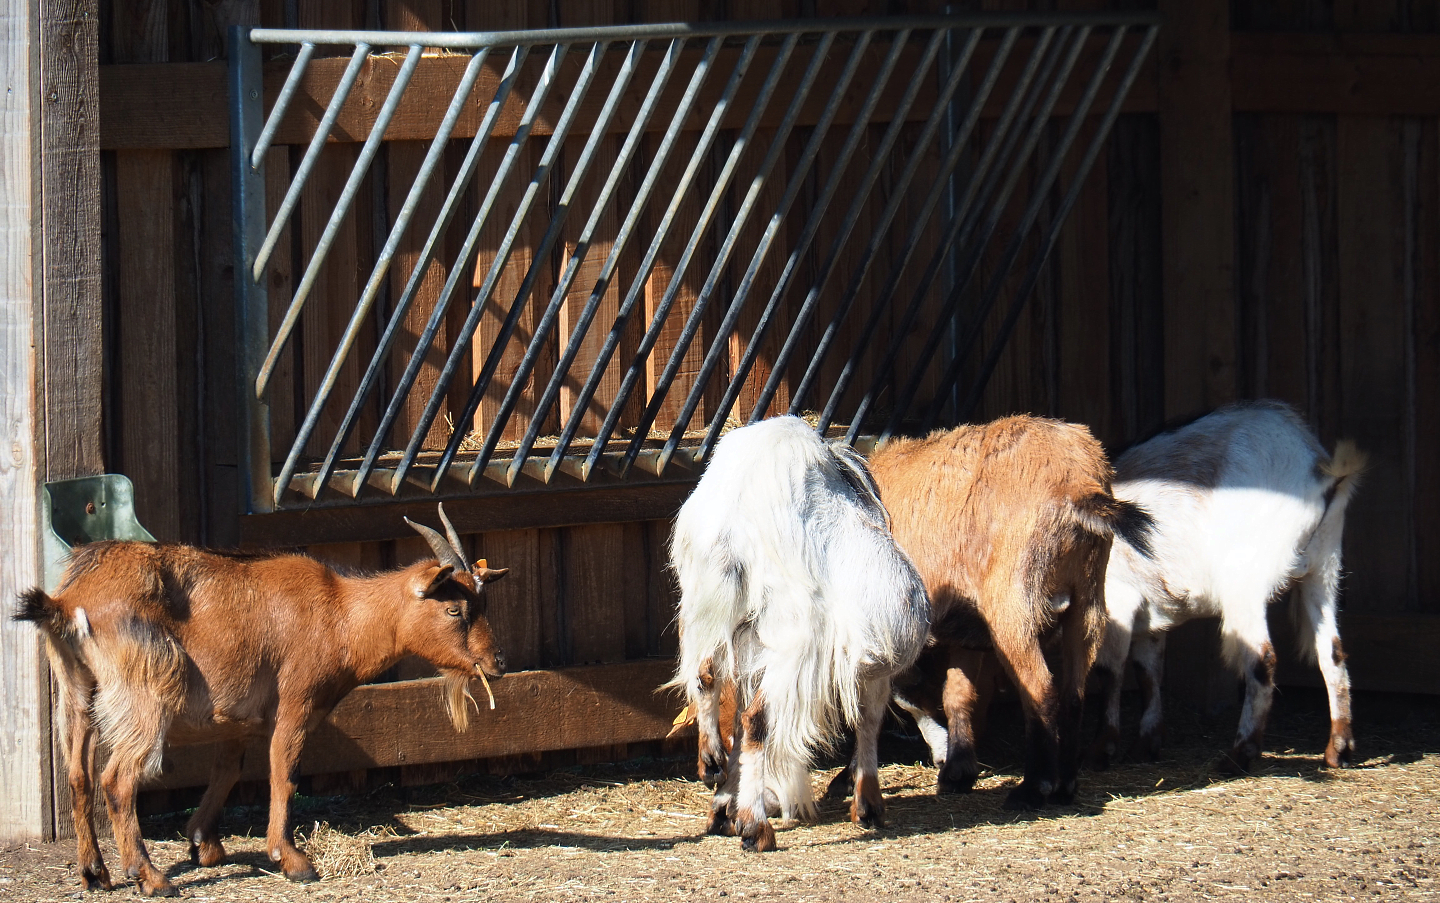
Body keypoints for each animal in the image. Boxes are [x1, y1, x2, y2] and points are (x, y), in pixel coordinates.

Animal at [14, 505, 508, 896]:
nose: (497, 662)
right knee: (117, 779)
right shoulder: (296, 702)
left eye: (483, 605)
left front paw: (203, 843)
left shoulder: (235, 719)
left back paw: (94, 873)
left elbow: (227, 771)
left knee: (78, 776)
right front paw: (291, 860)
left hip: (77, 693)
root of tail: (69, 600)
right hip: (145, 694)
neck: (341, 615)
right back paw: (151, 878)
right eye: (454, 609)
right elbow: (284, 773)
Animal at [669, 416, 930, 851]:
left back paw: (713, 767)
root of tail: (736, 522)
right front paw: (868, 806)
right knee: (758, 720)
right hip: (796, 638)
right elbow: (869, 719)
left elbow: (734, 717)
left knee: (707, 679)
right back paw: (755, 827)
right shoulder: (870, 666)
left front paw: (724, 805)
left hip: (708, 607)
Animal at [854, 415, 1150, 810]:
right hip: (1086, 603)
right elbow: (957, 695)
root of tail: (1078, 482)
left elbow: (897, 695)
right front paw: (958, 770)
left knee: (1040, 689)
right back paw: (1066, 785)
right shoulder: (965, 631)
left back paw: (1034, 787)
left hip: (1013, 606)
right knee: (1073, 693)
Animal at [1090, 400, 1365, 774]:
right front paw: (1146, 743)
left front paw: (1103, 749)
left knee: (1262, 658)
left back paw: (1240, 755)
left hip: (1245, 582)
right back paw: (1338, 750)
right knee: (1331, 652)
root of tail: (1319, 470)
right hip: (1323, 569)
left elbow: (1110, 671)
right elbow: (1148, 671)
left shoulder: (1118, 598)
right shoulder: (1150, 609)